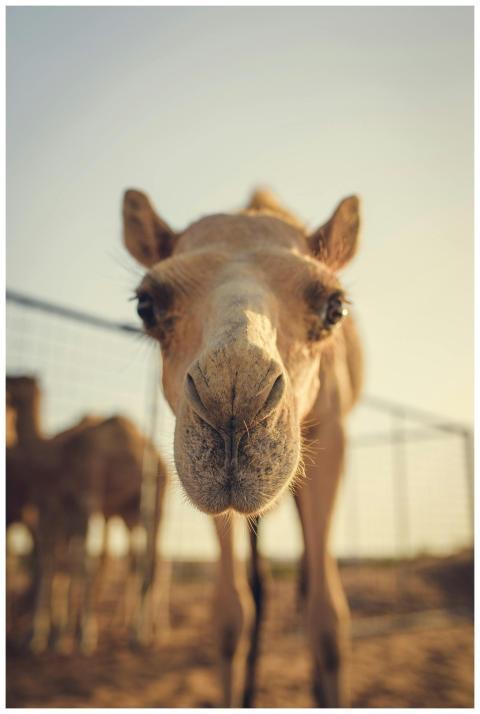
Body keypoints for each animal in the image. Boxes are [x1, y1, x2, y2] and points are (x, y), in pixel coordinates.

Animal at [5, 376, 169, 653]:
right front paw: (44, 636)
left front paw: (82, 636)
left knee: (151, 562)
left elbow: (81, 563)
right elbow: (56, 562)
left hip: (155, 500)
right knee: (136, 561)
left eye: (12, 383)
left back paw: (140, 635)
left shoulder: (83, 497)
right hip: (128, 510)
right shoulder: (59, 505)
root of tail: (160, 459)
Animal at [122, 186, 362, 706]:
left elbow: (329, 617)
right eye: (146, 306)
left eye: (333, 307)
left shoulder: (332, 433)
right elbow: (231, 615)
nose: (232, 401)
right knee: (260, 581)